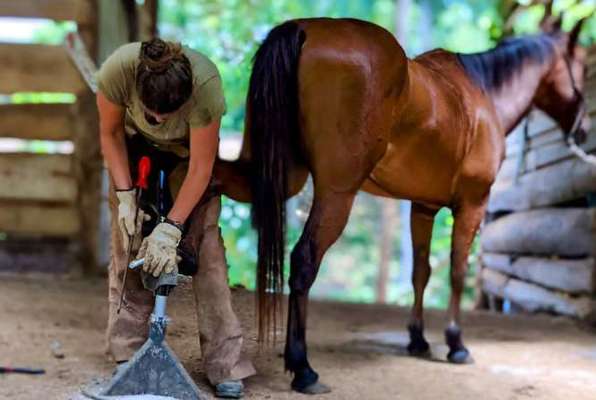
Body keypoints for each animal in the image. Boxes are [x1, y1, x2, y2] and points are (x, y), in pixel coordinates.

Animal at [214, 15, 592, 394]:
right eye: (584, 65)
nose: (584, 130)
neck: (484, 94)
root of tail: (303, 28)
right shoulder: (472, 204)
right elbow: (457, 272)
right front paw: (456, 344)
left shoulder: (422, 207)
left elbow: (420, 272)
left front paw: (418, 340)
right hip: (337, 193)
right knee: (304, 261)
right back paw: (303, 368)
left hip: (272, 173)